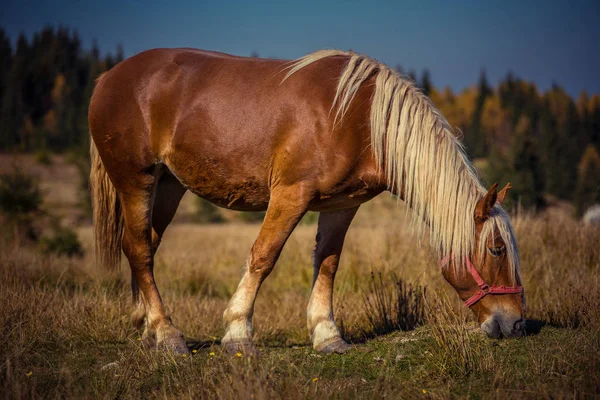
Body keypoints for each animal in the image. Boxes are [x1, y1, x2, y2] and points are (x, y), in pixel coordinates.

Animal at [89, 48, 524, 354]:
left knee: (145, 247)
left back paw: (148, 329)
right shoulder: (290, 193)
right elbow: (264, 256)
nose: (517, 324)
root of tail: (109, 76)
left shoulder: (341, 205)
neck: (358, 117)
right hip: (137, 180)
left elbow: (328, 264)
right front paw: (238, 331)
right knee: (138, 249)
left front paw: (327, 334)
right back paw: (167, 335)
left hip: (168, 186)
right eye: (497, 249)